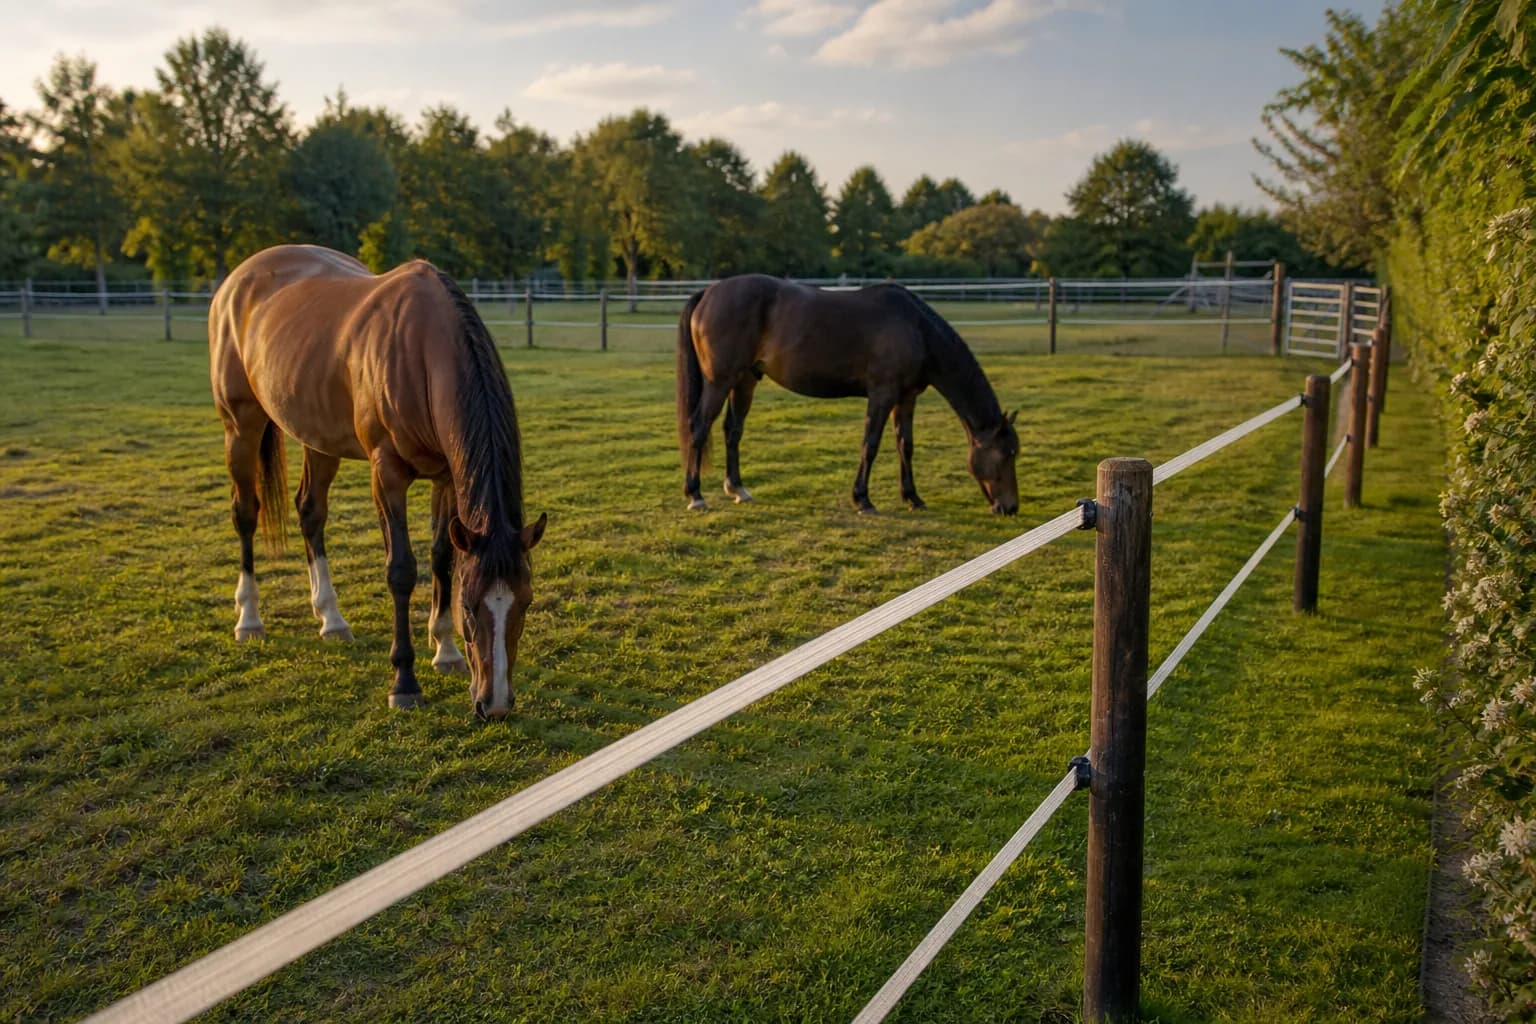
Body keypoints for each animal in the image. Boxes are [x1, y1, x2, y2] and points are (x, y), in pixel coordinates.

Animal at [209, 244, 547, 721]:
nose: (494, 705)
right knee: (245, 515)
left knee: (310, 513)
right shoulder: (386, 474)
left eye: (526, 600)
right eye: (469, 604)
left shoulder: (446, 477)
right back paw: (249, 618)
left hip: (319, 437)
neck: (422, 349)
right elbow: (401, 570)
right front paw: (404, 682)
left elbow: (442, 557)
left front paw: (445, 651)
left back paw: (331, 619)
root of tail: (238, 279)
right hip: (240, 426)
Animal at [675, 274, 1020, 514]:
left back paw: (738, 489)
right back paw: (695, 495)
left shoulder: (906, 398)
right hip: (719, 381)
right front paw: (863, 499)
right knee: (699, 426)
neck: (917, 328)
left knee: (732, 431)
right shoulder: (882, 395)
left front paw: (912, 497)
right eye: (1007, 454)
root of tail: (710, 292)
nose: (1011, 508)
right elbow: (871, 445)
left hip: (745, 380)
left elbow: (905, 446)